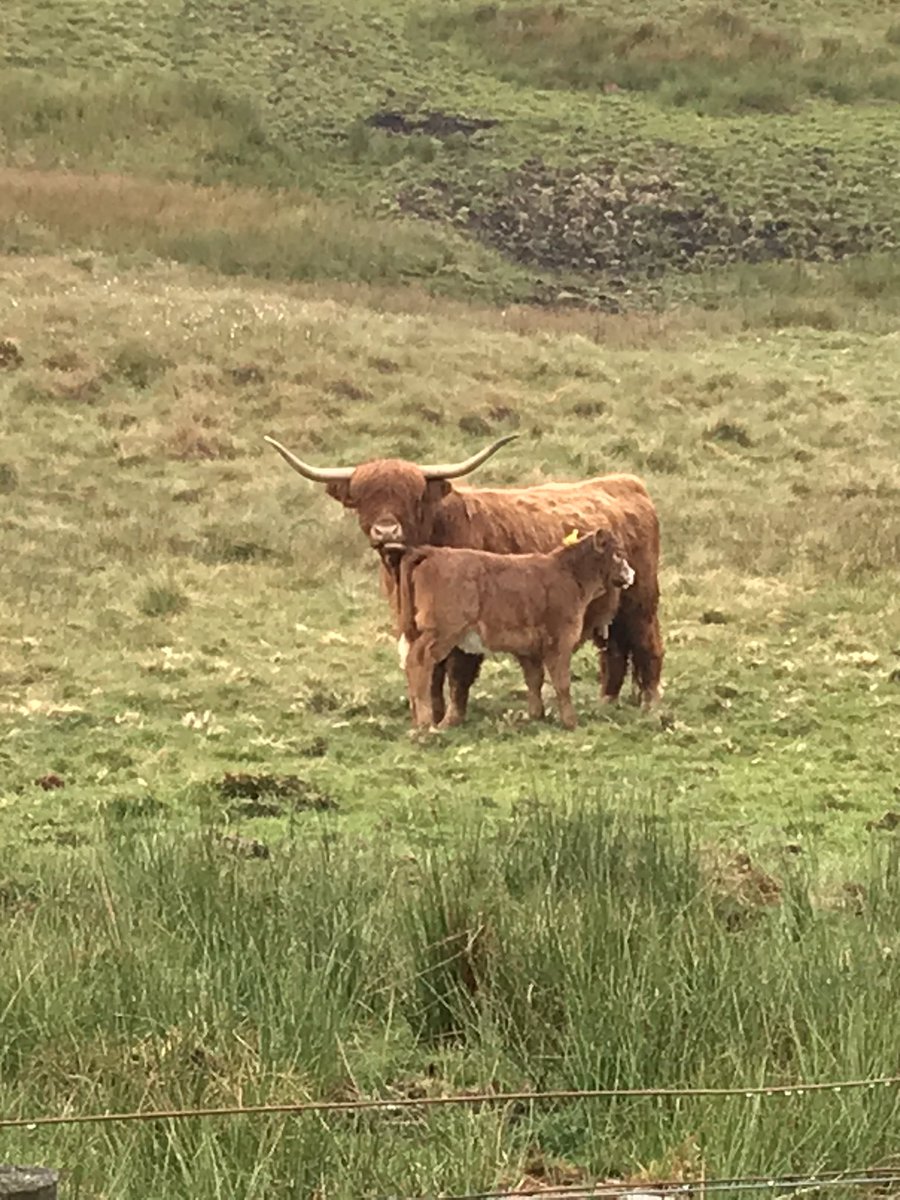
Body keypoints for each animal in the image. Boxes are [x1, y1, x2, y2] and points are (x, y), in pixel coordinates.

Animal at [397, 528, 635, 730]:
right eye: (618, 554)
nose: (632, 574)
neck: (569, 574)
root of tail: (434, 552)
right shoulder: (559, 641)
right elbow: (562, 683)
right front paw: (571, 722)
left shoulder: (528, 649)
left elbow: (534, 679)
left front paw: (537, 715)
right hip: (442, 631)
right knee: (419, 661)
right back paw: (426, 725)